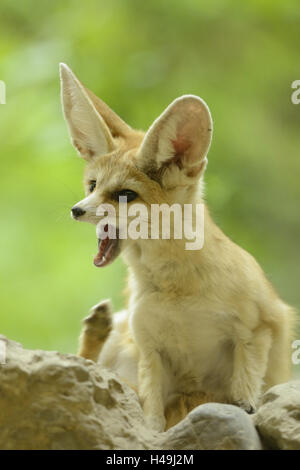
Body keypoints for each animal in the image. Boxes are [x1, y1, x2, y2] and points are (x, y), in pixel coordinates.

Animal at [59, 63, 296, 434]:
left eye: (124, 194)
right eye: (93, 185)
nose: (76, 210)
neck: (178, 294)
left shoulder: (257, 329)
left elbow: (245, 392)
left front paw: (246, 409)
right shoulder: (150, 349)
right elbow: (152, 420)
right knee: (88, 363)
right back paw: (96, 327)